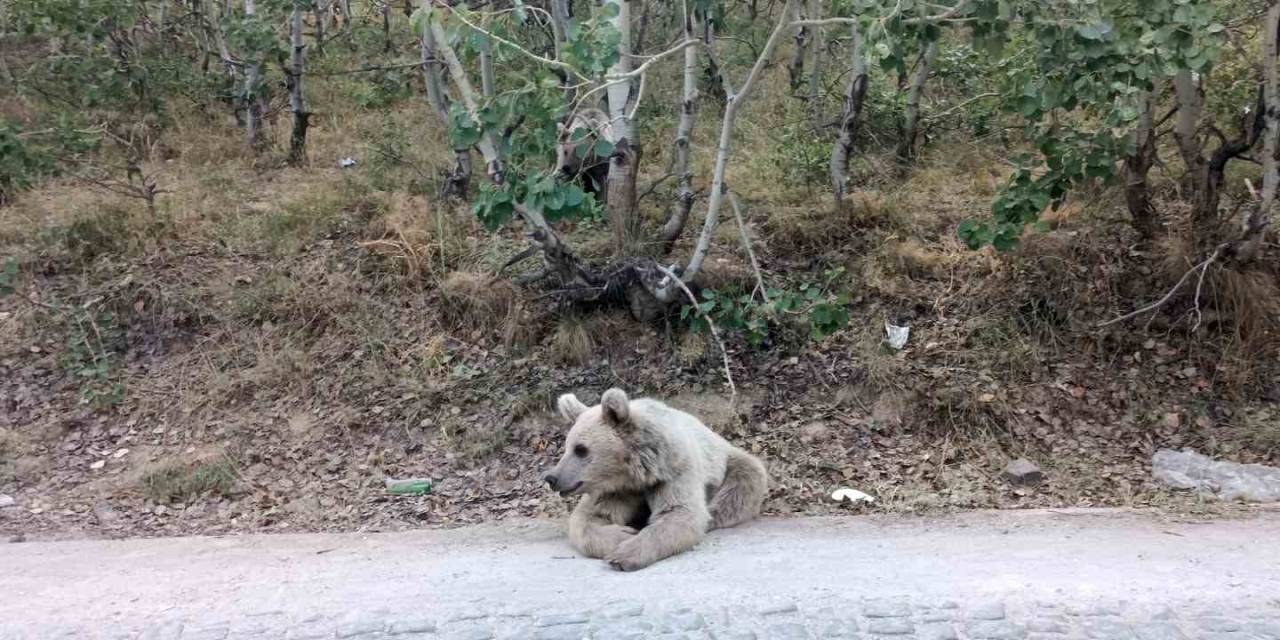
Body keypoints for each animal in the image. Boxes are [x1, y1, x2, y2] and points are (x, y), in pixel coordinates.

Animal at [542, 386, 762, 573]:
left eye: (581, 449)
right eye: (567, 447)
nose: (552, 478)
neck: (634, 472)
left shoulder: (673, 470)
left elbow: (680, 512)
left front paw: (624, 554)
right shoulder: (614, 490)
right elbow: (589, 517)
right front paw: (622, 534)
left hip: (728, 462)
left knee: (741, 486)